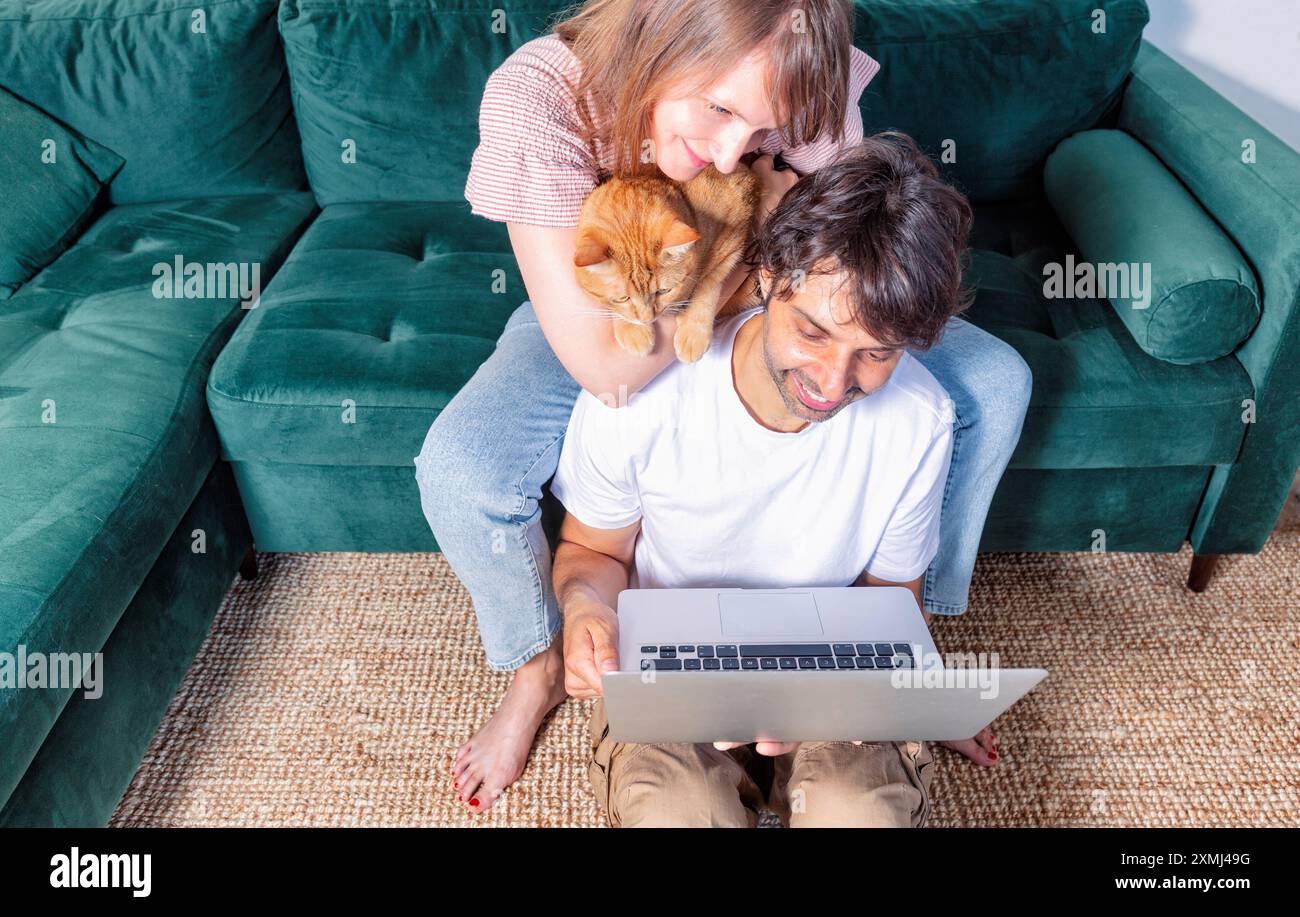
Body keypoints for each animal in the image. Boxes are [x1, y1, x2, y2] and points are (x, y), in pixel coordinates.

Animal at [574, 157, 764, 361]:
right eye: (623, 298)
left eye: (663, 291)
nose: (648, 319)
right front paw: (633, 330)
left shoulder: (734, 241)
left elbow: (709, 283)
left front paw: (693, 332)